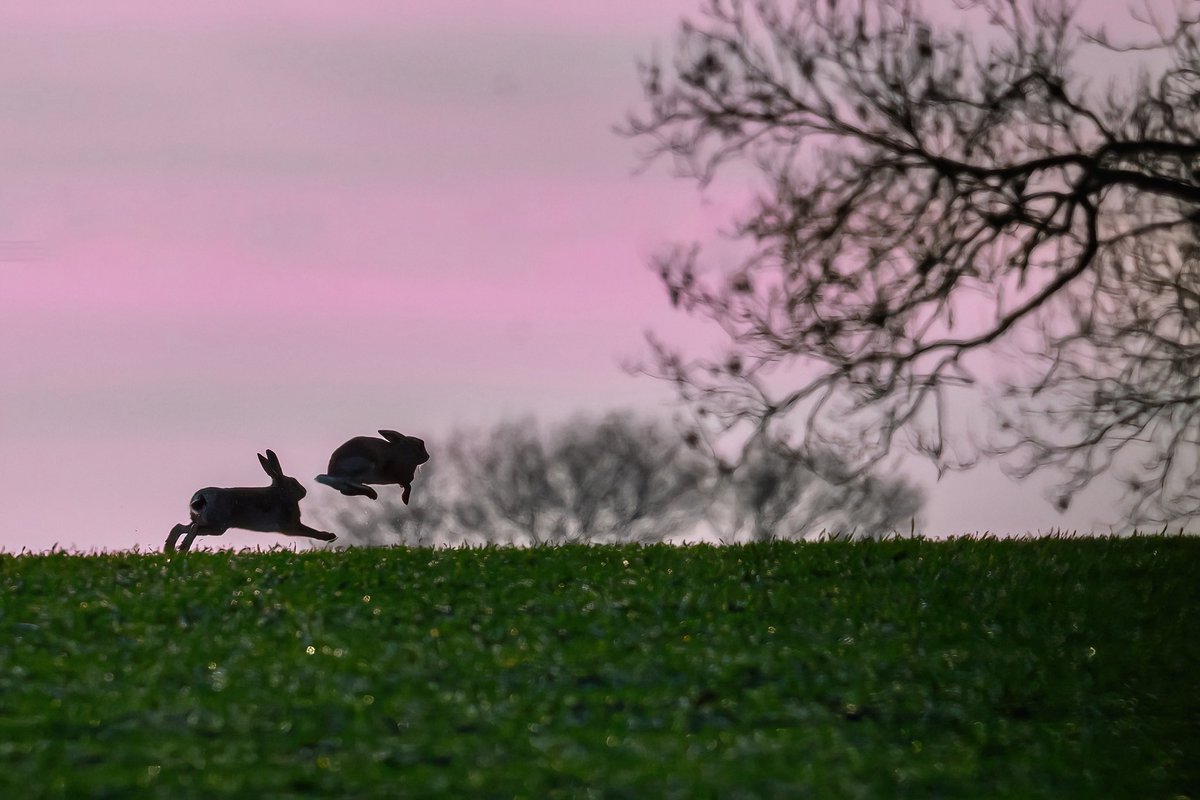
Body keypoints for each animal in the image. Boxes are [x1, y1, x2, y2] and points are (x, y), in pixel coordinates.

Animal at [165, 449, 335, 553]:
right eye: (294, 482)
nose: (304, 491)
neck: (282, 492)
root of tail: (201, 498)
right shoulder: (291, 526)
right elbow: (310, 531)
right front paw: (329, 536)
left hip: (207, 523)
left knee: (180, 527)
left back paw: (171, 549)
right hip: (217, 526)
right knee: (193, 528)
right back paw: (182, 548)